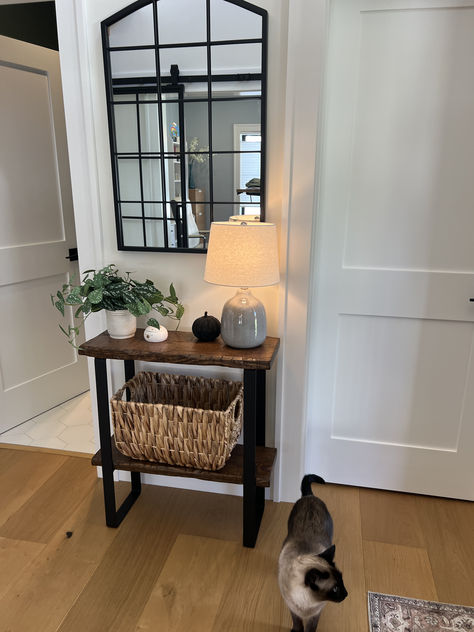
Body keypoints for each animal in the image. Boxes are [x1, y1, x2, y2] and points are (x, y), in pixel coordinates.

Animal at [278, 474, 348, 632]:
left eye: (342, 581)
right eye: (335, 588)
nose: (347, 594)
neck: (306, 604)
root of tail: (309, 496)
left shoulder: (315, 614)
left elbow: (310, 629)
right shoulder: (293, 609)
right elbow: (297, 624)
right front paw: (295, 631)